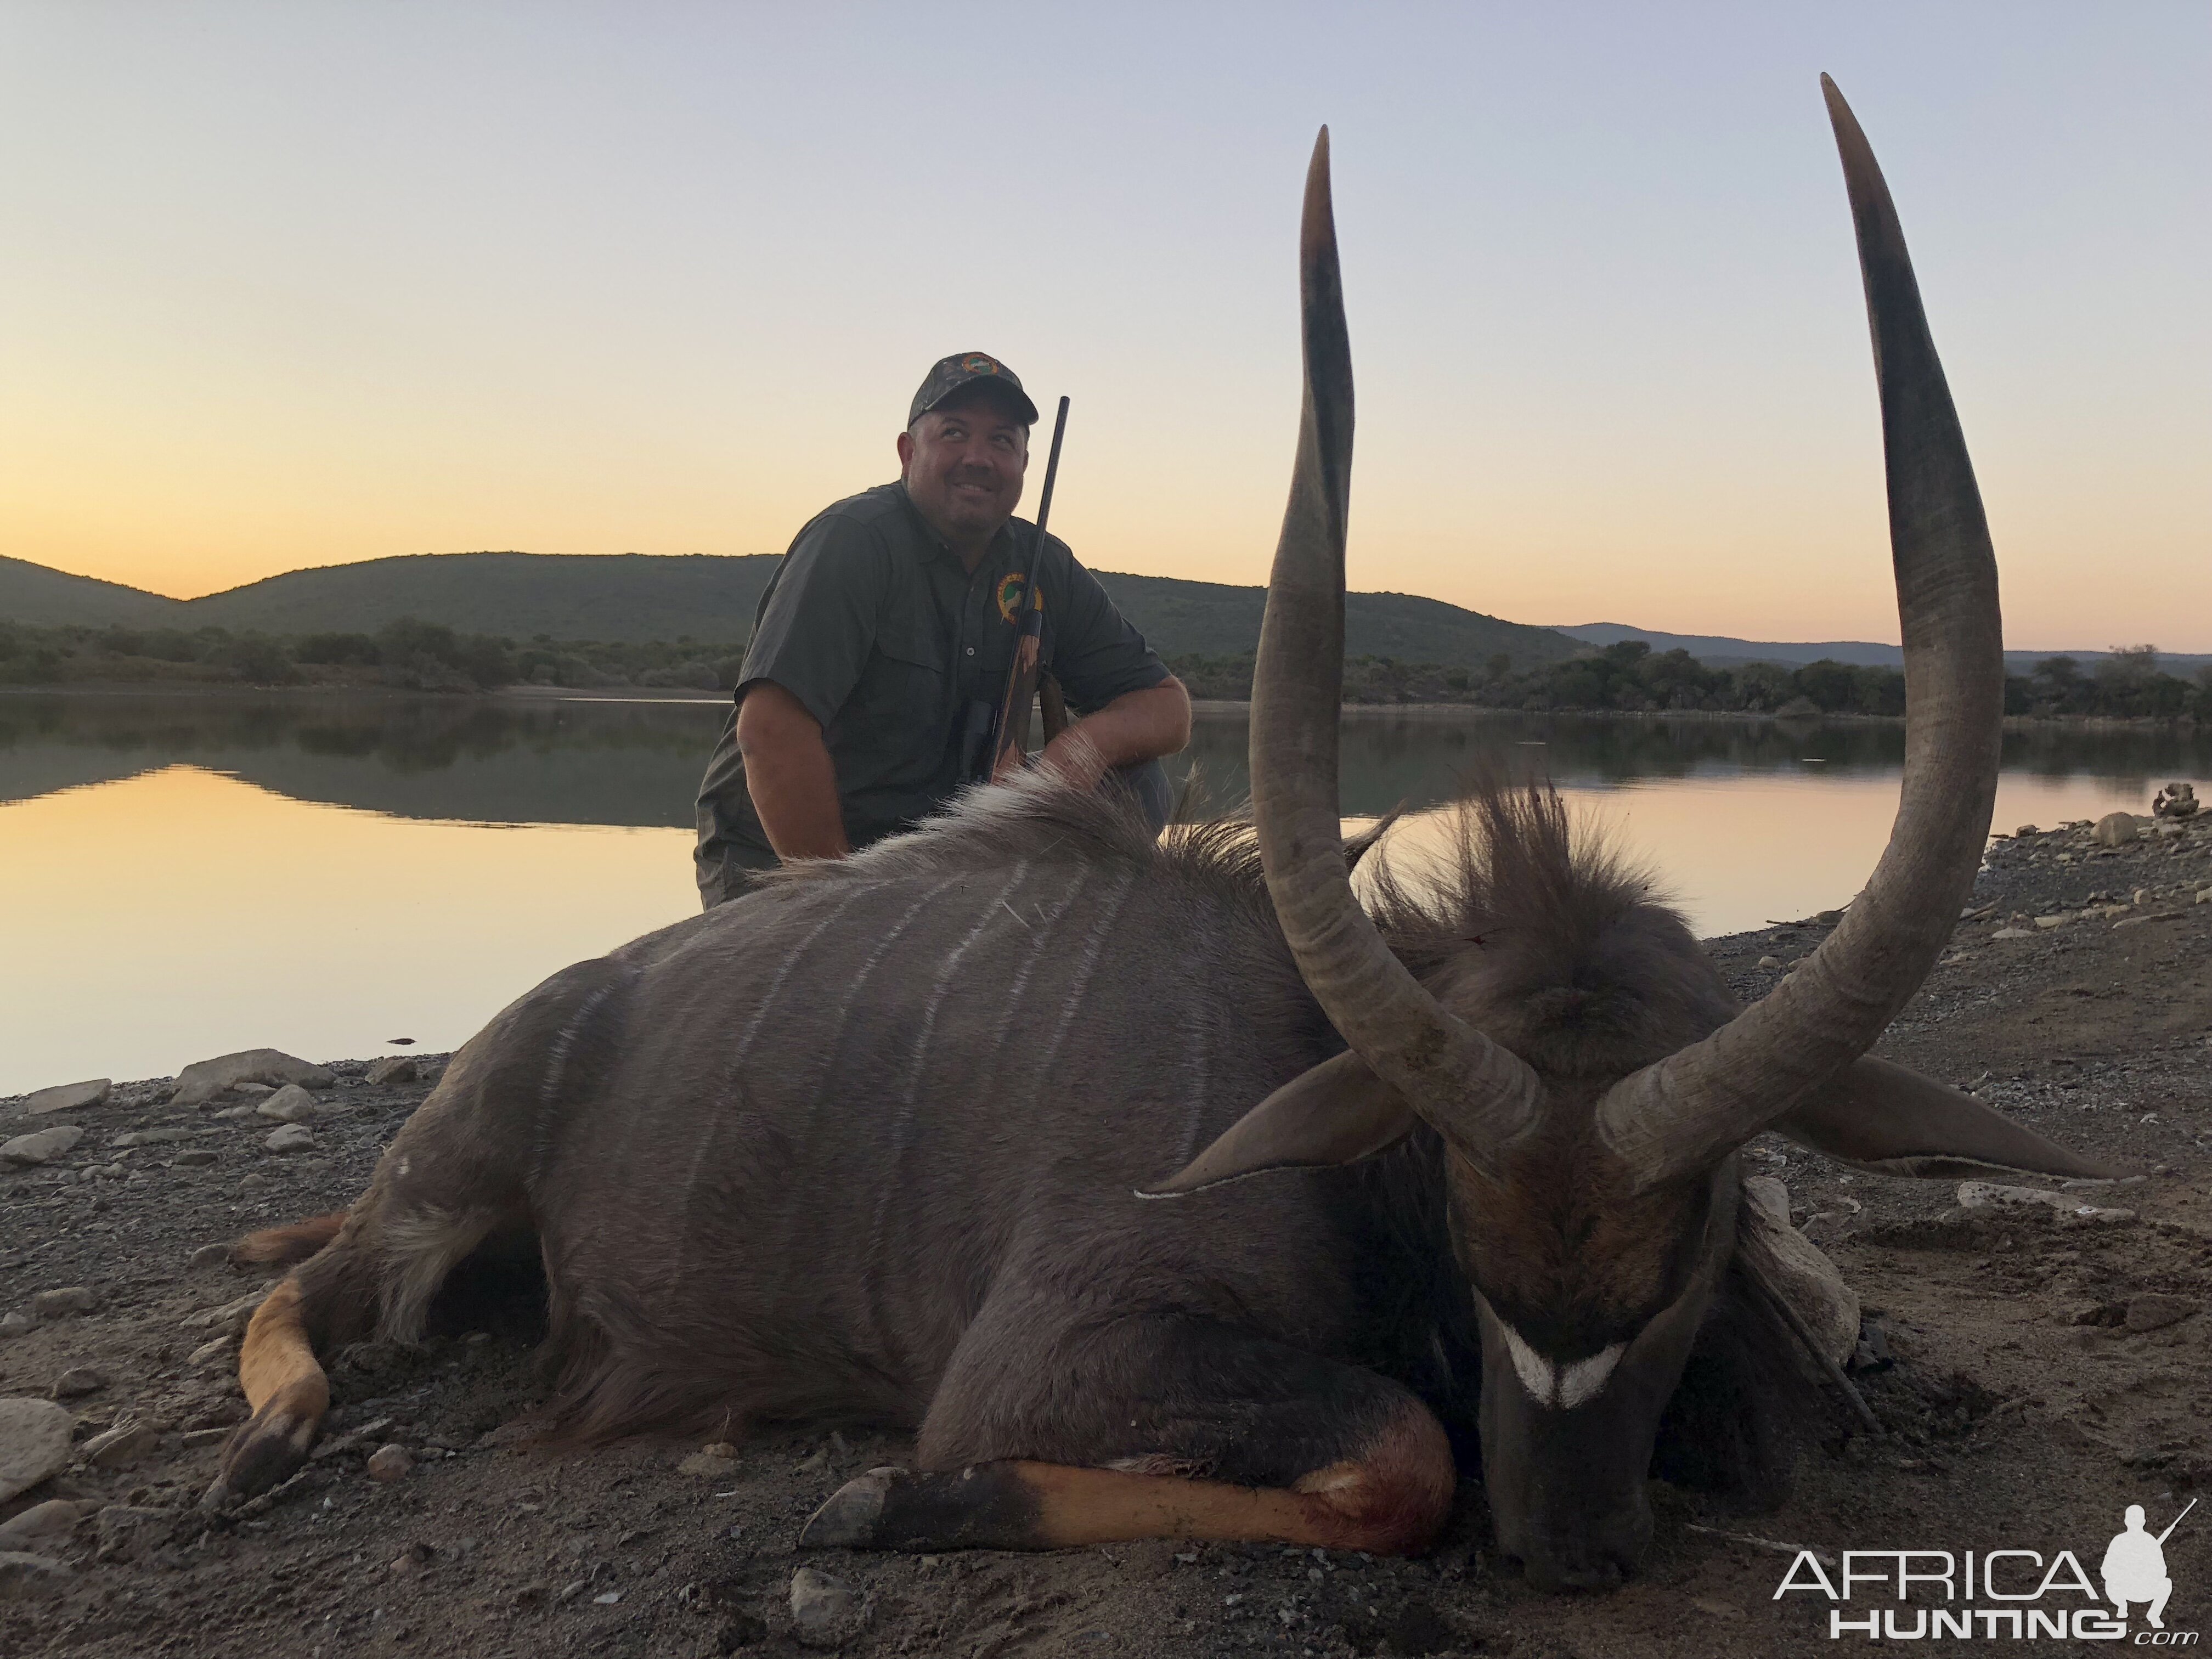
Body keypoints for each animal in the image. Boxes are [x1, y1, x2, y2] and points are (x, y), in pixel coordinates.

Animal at [208, 81, 2106, 1601]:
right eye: (1462, 1217)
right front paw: (880, 1505)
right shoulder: (1053, 1355)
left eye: (1697, 1233)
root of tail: (575, 1000)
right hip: (438, 1203)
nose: (1567, 1546)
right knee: (306, 1302)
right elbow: (1403, 1455)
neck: (1305, 1075)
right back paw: (267, 1446)